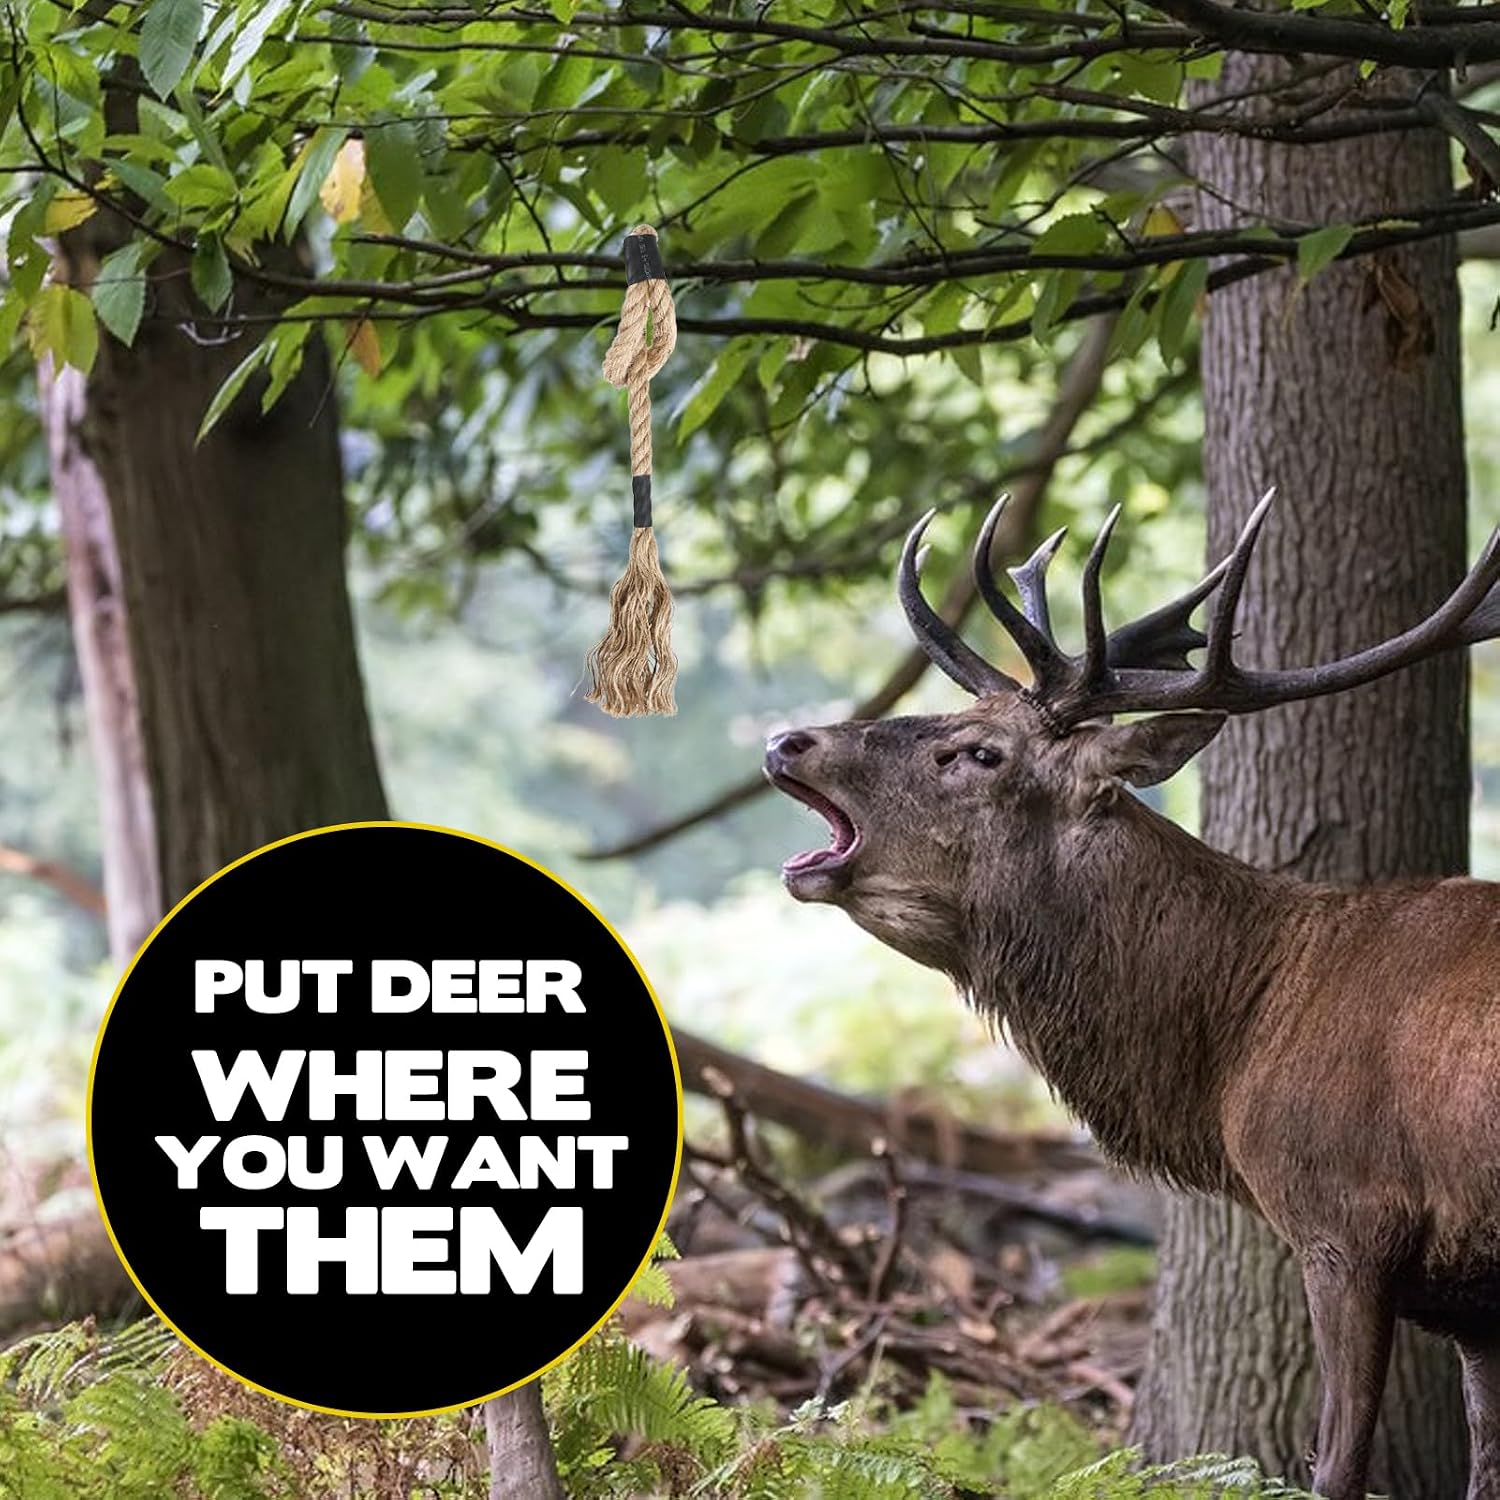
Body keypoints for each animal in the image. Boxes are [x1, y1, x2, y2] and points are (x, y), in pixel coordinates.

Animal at [764, 491, 1500, 1500]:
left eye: (978, 751)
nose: (785, 738)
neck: (1241, 1040)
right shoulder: (1475, 1304)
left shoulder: (1347, 1222)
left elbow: (1337, 1467)